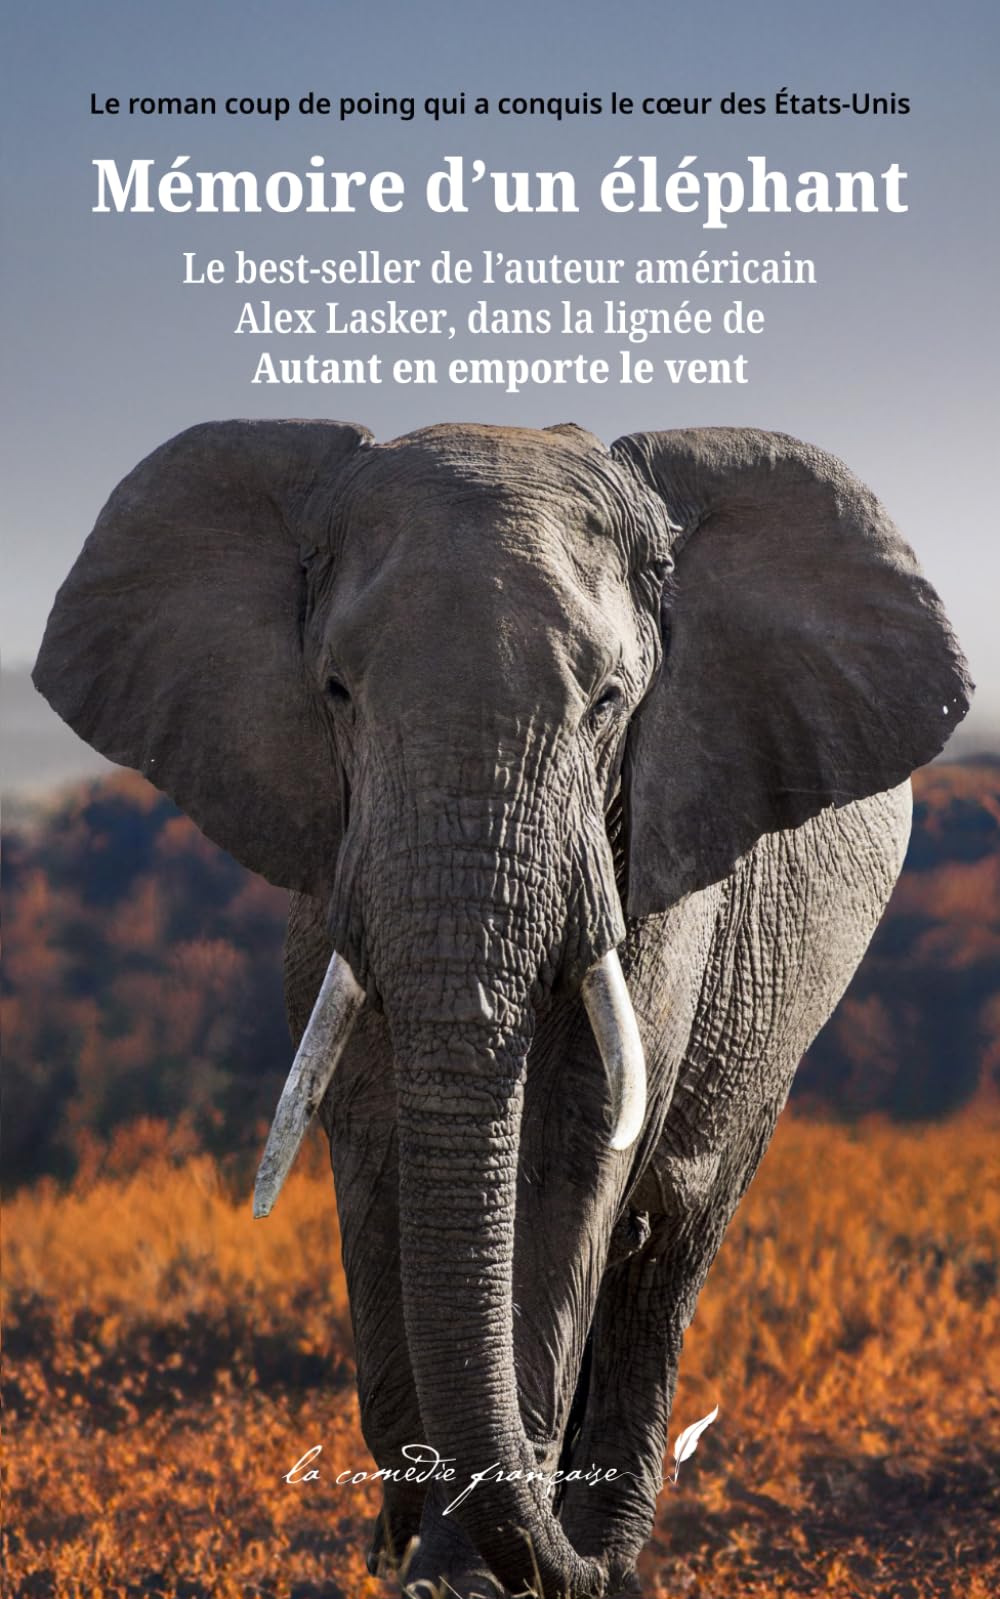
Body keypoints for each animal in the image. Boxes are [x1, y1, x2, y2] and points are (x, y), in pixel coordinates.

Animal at [33, 419, 971, 1598]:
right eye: (335, 692)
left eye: (610, 700)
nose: (561, 1561)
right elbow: (379, 1136)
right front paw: (420, 1564)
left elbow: (575, 1150)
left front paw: (470, 1577)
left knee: (669, 1243)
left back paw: (606, 1538)